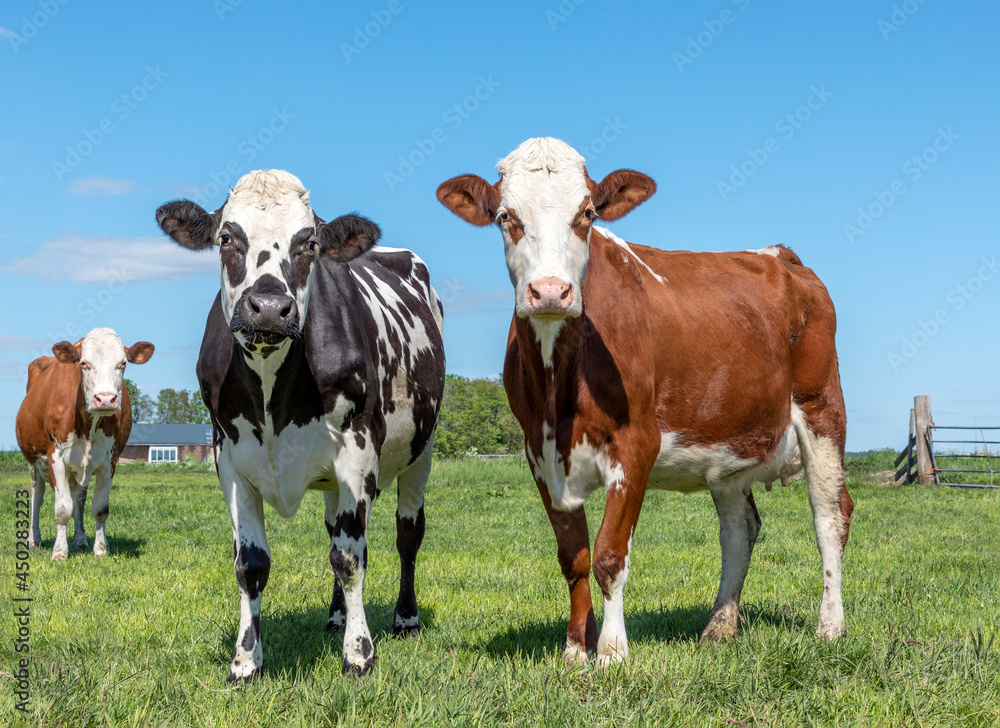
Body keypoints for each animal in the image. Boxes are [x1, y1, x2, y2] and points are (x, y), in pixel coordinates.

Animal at [15, 328, 154, 560]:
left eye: (123, 363)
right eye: (84, 363)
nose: (105, 399)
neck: (89, 424)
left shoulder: (109, 459)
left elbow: (99, 508)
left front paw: (101, 549)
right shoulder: (56, 456)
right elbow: (62, 508)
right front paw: (59, 552)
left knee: (78, 498)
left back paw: (80, 539)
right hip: (33, 461)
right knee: (36, 496)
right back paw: (33, 539)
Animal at [157, 172, 446, 684]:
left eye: (309, 242)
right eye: (226, 238)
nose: (270, 308)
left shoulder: (357, 452)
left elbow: (351, 558)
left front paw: (359, 654)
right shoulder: (230, 461)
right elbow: (251, 564)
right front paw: (245, 661)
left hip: (422, 447)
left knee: (407, 534)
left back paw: (404, 619)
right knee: (334, 529)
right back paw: (334, 617)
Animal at [438, 136, 852, 664]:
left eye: (587, 213)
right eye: (505, 216)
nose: (550, 291)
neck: (559, 392)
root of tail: (779, 255)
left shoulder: (636, 444)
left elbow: (610, 555)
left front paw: (613, 653)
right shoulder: (538, 453)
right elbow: (574, 557)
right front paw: (575, 650)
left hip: (822, 409)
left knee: (830, 515)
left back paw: (830, 626)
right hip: (730, 439)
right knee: (740, 529)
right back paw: (719, 626)